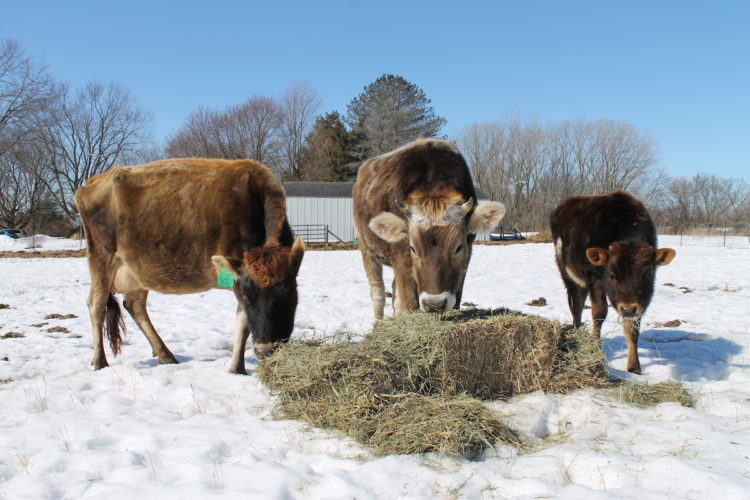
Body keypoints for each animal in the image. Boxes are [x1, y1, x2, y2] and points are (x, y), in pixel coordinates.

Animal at [74, 158, 305, 375]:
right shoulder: (238, 280)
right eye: (250, 297)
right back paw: (99, 360)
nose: (266, 349)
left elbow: (242, 322)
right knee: (96, 305)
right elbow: (244, 323)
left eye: (289, 295)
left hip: (135, 269)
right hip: (102, 257)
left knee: (134, 305)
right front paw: (238, 369)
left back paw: (165, 354)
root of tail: (94, 181)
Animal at [353, 138, 506, 319]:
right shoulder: (401, 255)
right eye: (413, 248)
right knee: (378, 292)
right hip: (366, 248)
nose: (435, 304)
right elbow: (407, 304)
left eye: (458, 248)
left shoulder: (466, 256)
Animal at [550, 190, 676, 374]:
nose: (628, 309)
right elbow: (599, 313)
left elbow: (633, 327)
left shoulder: (639, 302)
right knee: (576, 306)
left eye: (647, 276)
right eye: (611, 275)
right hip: (568, 274)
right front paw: (595, 349)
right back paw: (577, 331)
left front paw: (634, 366)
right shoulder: (596, 280)